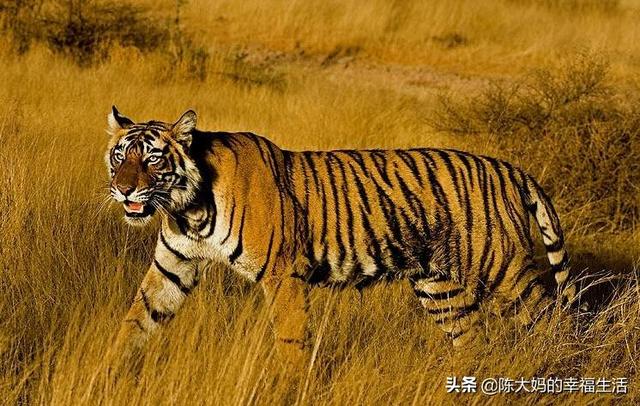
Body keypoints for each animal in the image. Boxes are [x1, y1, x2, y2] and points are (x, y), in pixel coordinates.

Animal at [105, 106, 576, 365]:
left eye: (152, 159)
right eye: (119, 156)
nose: (124, 189)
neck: (187, 209)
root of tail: (508, 167)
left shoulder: (283, 273)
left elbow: (291, 340)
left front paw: (288, 387)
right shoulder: (172, 267)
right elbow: (135, 322)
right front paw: (106, 375)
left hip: (505, 272)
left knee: (556, 322)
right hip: (440, 287)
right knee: (473, 341)